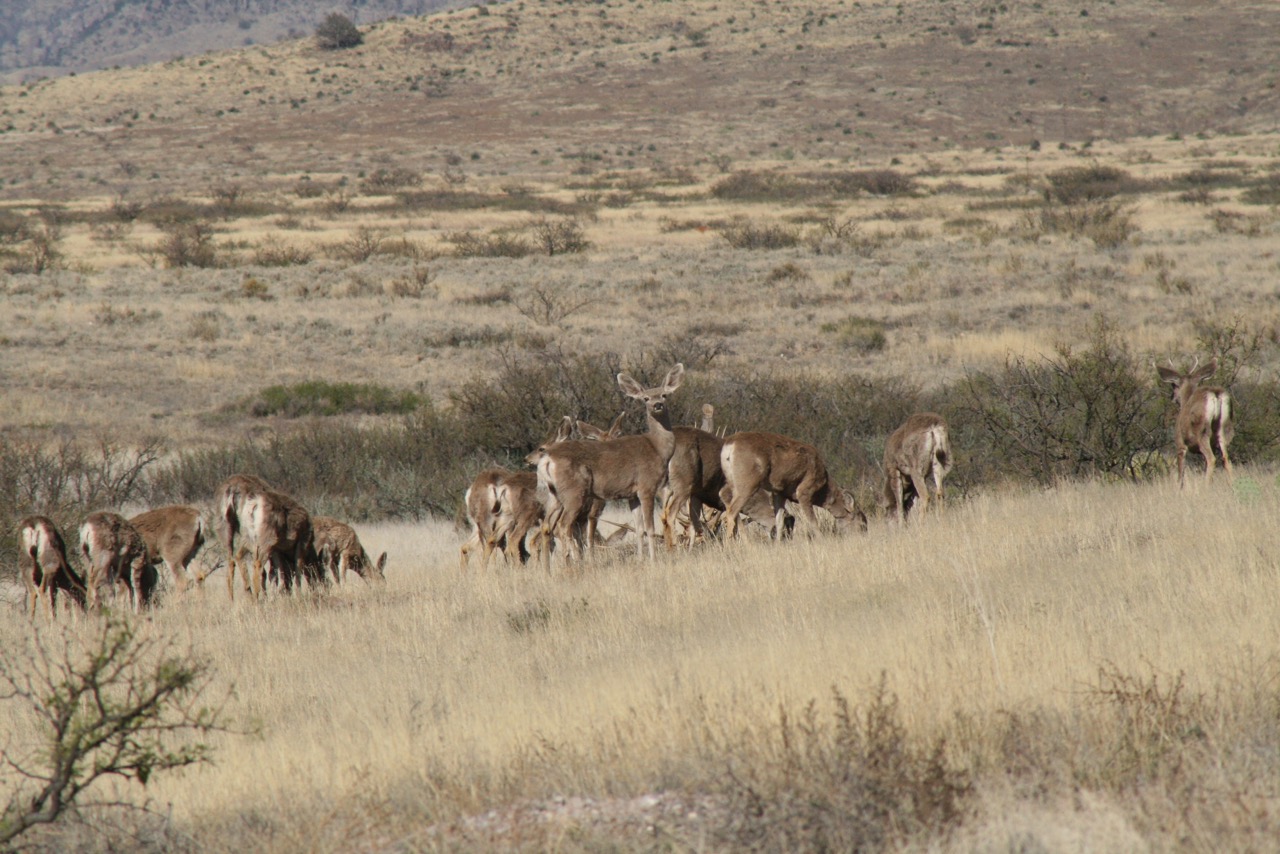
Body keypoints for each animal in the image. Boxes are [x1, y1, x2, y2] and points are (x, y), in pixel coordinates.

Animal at [215, 473, 272, 601]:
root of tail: (232, 491)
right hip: (247, 532)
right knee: (241, 557)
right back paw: (251, 594)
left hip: (225, 529)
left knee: (231, 563)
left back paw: (232, 600)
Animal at [535, 363, 686, 558]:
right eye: (645, 398)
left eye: (664, 395)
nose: (657, 405)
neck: (657, 448)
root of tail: (547, 459)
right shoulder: (647, 486)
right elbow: (650, 528)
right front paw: (654, 560)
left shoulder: (632, 494)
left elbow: (639, 529)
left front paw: (641, 559)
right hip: (573, 491)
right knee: (563, 526)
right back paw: (574, 562)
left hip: (554, 494)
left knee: (547, 526)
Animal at [721, 430, 860, 537]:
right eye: (861, 523)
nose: (860, 537)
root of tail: (729, 446)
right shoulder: (804, 492)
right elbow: (813, 522)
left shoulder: (779, 493)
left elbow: (779, 521)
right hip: (747, 483)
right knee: (731, 511)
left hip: (732, 481)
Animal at [1157, 355, 1233, 486]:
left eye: (1173, 385)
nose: (1172, 397)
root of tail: (1215, 394)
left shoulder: (1180, 443)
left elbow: (1180, 475)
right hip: (1224, 430)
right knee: (1226, 459)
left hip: (1202, 432)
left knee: (1212, 459)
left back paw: (1206, 486)